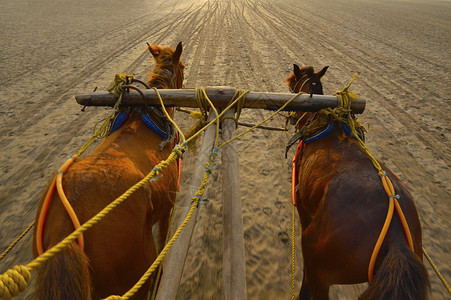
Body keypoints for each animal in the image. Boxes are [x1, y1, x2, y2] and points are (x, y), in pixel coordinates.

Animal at [32, 42, 185, 300]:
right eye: (183, 65)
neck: (151, 121)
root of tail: (64, 227)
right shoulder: (168, 205)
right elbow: (164, 240)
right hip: (134, 273)